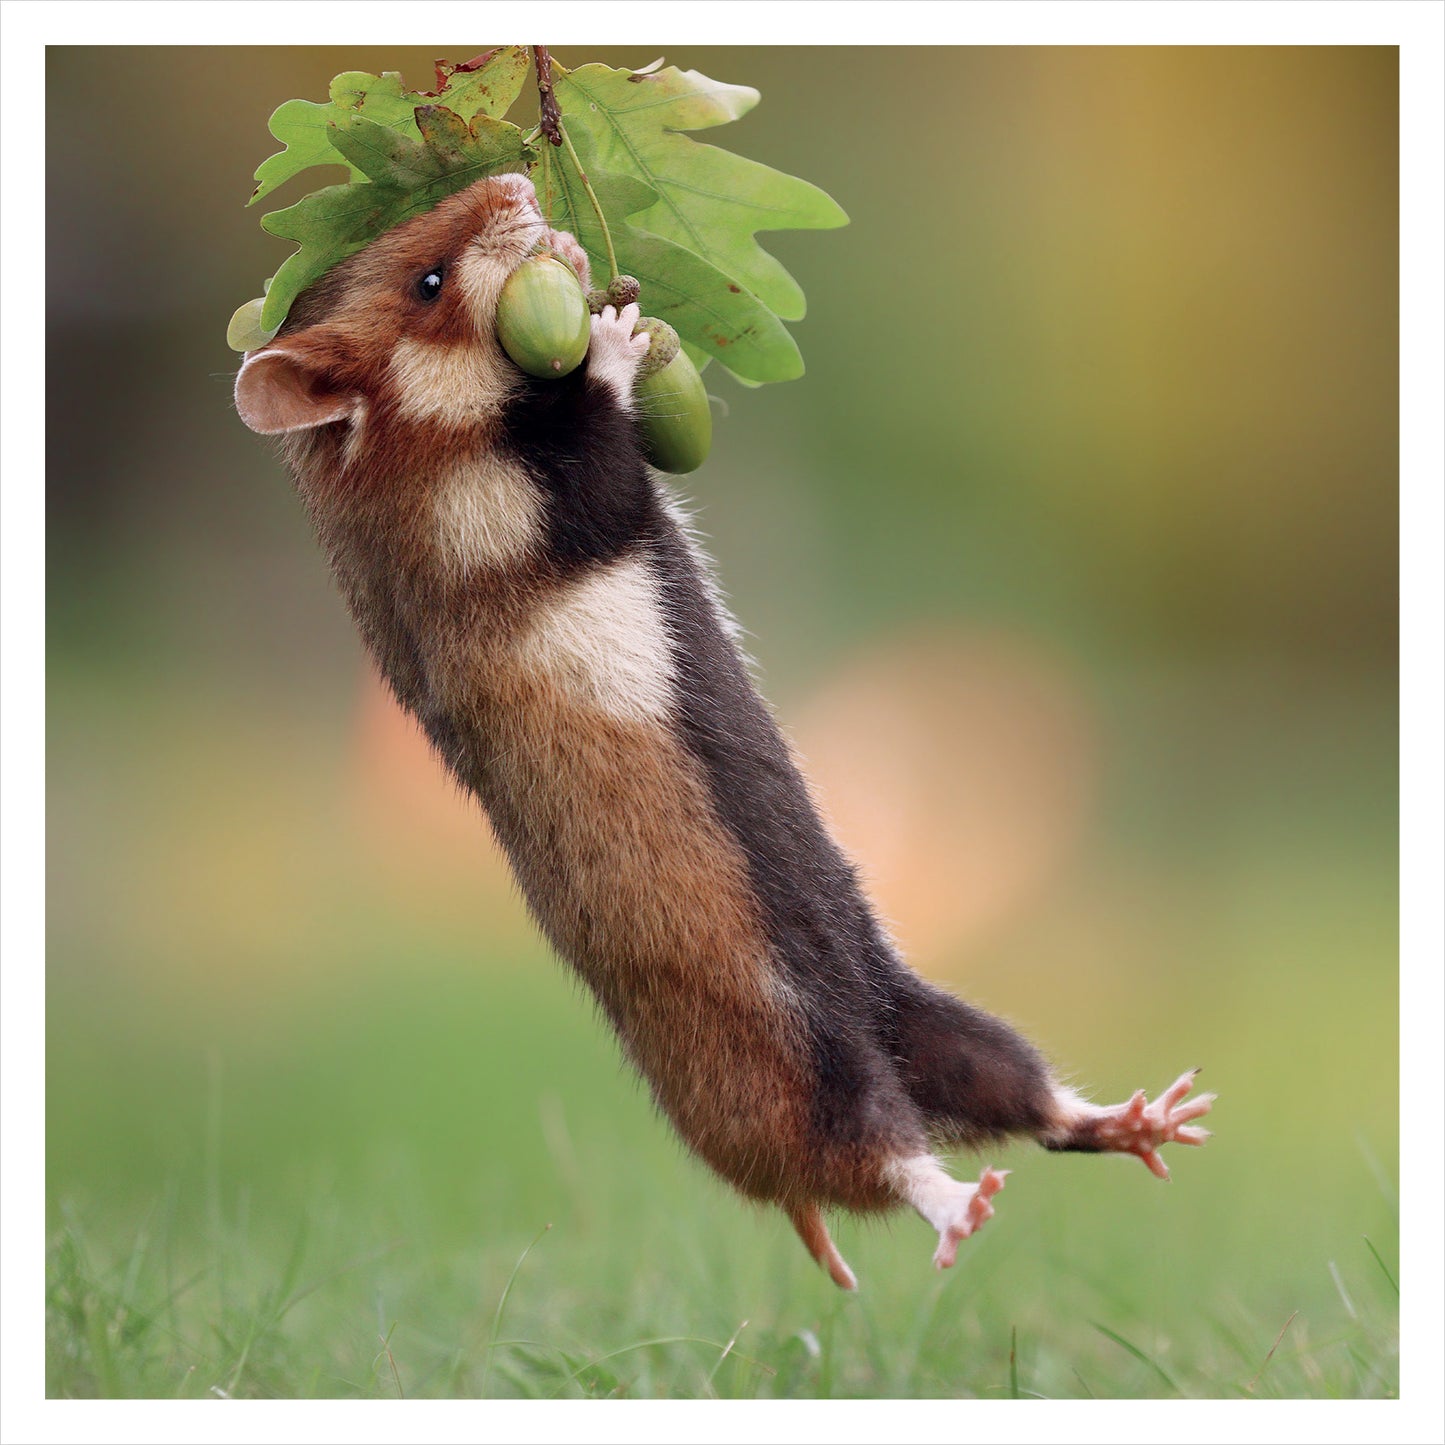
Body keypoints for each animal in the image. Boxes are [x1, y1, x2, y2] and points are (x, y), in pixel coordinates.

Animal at [234, 171, 1213, 1289]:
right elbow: (600, 431)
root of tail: (777, 1181)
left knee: (1032, 1103)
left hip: (931, 1022)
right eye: (427, 281)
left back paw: (1157, 1119)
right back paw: (968, 1210)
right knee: (896, 1166)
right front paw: (611, 331)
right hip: (814, 1080)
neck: (399, 454)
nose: (516, 180)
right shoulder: (522, 509)